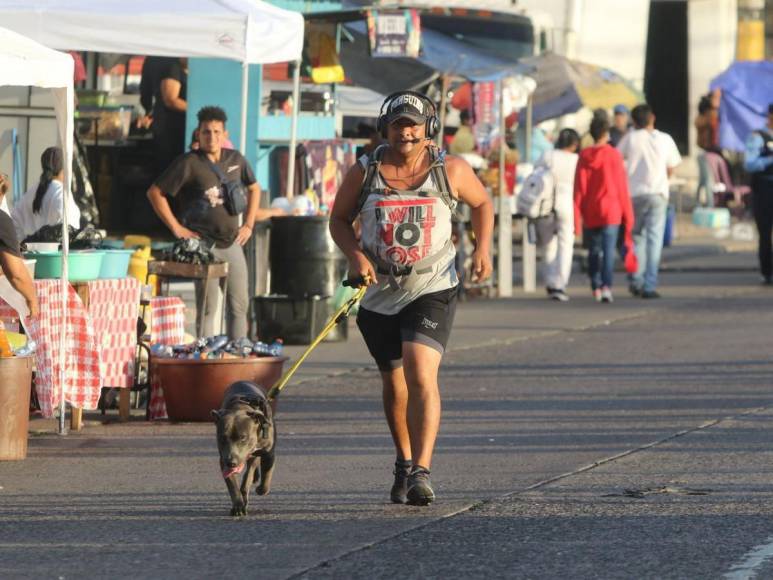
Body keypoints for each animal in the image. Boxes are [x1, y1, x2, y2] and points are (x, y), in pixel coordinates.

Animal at [210, 380, 276, 516]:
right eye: (222, 438)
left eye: (243, 438)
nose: (231, 462)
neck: (240, 408)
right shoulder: (223, 459)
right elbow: (233, 486)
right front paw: (238, 506)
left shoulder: (269, 454)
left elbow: (266, 474)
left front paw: (261, 489)